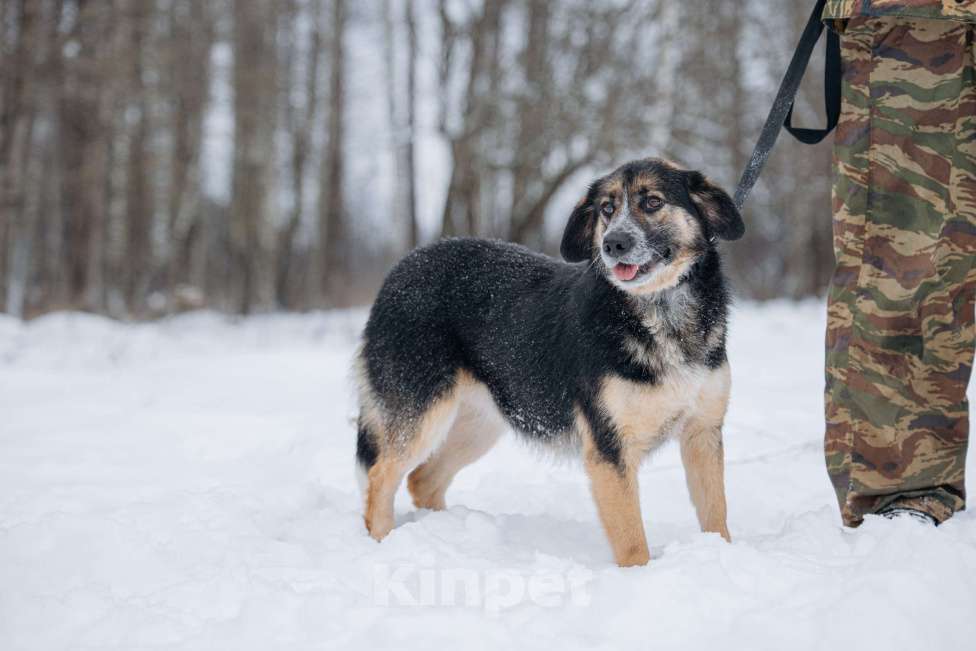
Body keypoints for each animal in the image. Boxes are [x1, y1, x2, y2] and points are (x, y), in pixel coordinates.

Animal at [350, 158, 740, 564]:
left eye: (652, 202)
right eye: (607, 208)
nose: (612, 243)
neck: (661, 312)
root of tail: (399, 271)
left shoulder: (703, 433)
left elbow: (716, 514)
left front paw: (721, 556)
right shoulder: (609, 448)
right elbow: (633, 543)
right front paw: (641, 575)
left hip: (479, 423)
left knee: (421, 479)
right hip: (421, 413)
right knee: (380, 477)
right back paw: (384, 543)